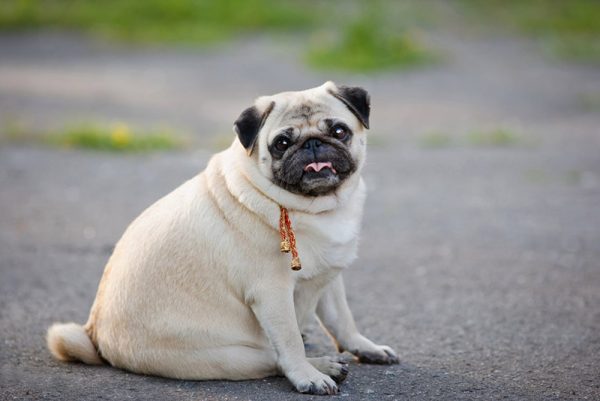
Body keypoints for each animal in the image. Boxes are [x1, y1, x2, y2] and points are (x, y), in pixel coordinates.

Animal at [48, 81, 398, 394]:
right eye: (282, 143)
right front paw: (307, 376)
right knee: (272, 357)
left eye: (339, 131)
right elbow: (288, 342)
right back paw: (322, 365)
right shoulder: (272, 293)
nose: (313, 143)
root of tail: (96, 337)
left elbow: (342, 319)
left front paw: (365, 347)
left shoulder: (328, 276)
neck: (318, 209)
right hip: (227, 355)